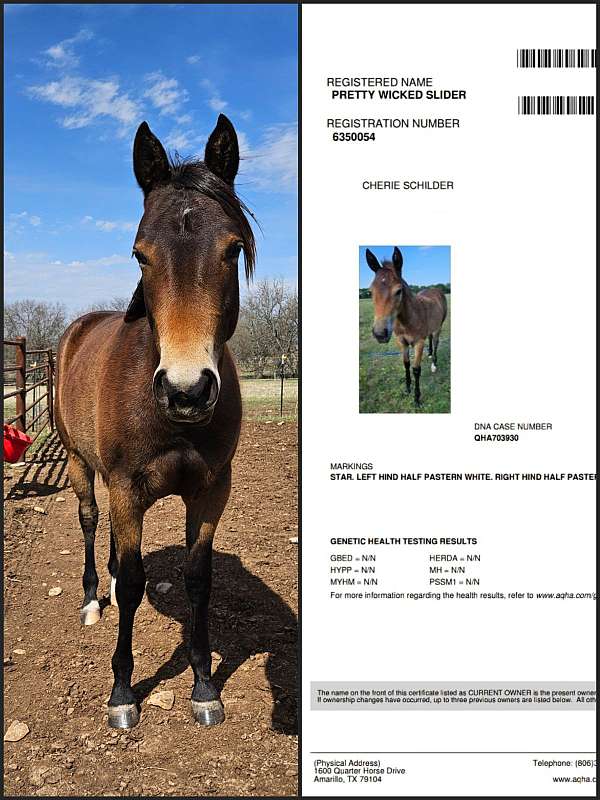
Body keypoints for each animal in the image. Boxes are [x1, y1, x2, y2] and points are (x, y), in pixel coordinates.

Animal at [54, 114, 255, 730]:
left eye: (232, 248)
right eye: (140, 254)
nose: (186, 391)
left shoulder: (211, 490)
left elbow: (197, 580)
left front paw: (205, 686)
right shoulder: (126, 489)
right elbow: (136, 583)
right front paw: (122, 693)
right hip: (80, 465)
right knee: (92, 524)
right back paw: (92, 599)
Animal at [366, 246, 447, 405]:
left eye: (398, 291)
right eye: (370, 292)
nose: (380, 334)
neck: (407, 320)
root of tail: (435, 289)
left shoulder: (418, 343)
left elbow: (416, 369)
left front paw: (416, 398)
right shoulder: (401, 342)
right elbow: (406, 364)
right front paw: (407, 389)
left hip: (439, 327)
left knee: (436, 342)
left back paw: (434, 364)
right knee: (430, 339)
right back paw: (429, 354)